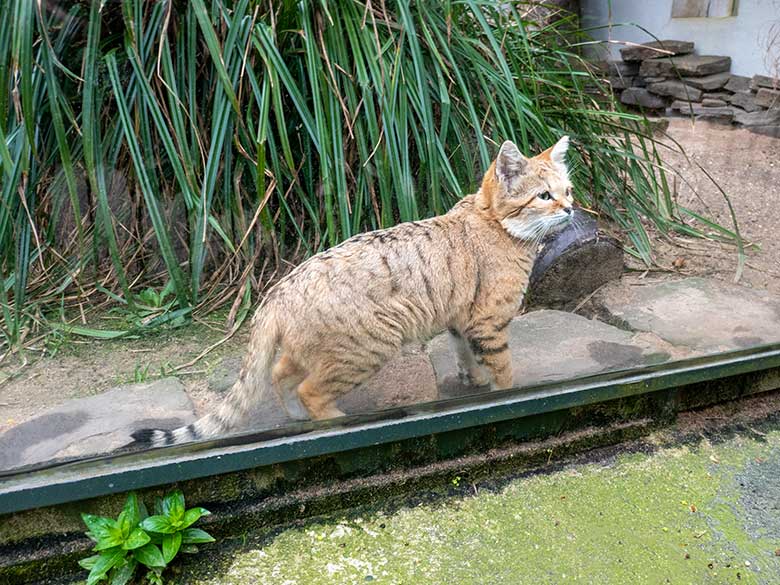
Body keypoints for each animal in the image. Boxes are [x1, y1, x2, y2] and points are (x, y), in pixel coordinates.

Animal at [133, 137, 572, 448]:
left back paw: (296, 416)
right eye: (544, 196)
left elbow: (465, 353)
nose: (570, 209)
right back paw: (335, 420)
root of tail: (277, 293)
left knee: (279, 374)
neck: (493, 221)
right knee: (311, 390)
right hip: (368, 347)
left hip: (317, 350)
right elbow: (504, 369)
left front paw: (474, 381)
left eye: (567, 190)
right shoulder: (488, 321)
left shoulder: (461, 318)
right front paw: (506, 394)